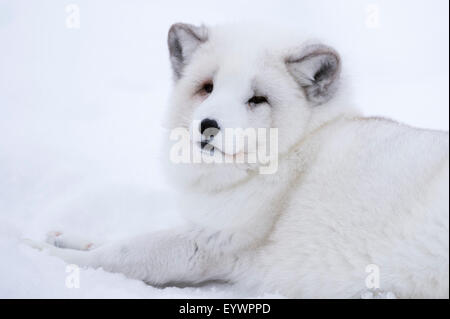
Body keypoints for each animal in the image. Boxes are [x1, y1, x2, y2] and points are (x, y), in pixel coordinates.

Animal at [26, 23, 448, 300]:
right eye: (207, 88)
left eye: (257, 99)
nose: (208, 126)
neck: (293, 152)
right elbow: (119, 240)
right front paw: (69, 238)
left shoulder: (211, 244)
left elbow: (121, 254)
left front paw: (44, 254)